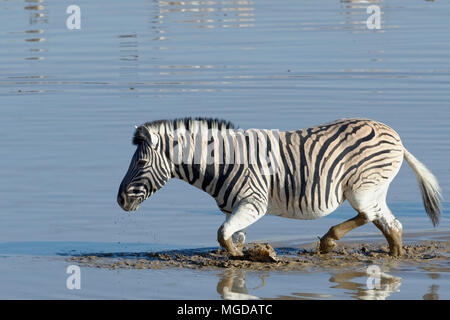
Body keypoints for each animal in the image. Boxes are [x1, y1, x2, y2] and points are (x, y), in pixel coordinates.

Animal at [117, 117, 442, 258]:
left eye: (141, 162)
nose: (120, 200)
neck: (222, 163)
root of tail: (395, 136)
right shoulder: (237, 207)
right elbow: (233, 235)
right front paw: (243, 256)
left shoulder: (253, 202)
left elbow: (223, 235)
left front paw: (242, 258)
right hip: (374, 189)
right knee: (391, 224)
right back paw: (392, 256)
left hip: (361, 187)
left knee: (370, 215)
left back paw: (329, 240)